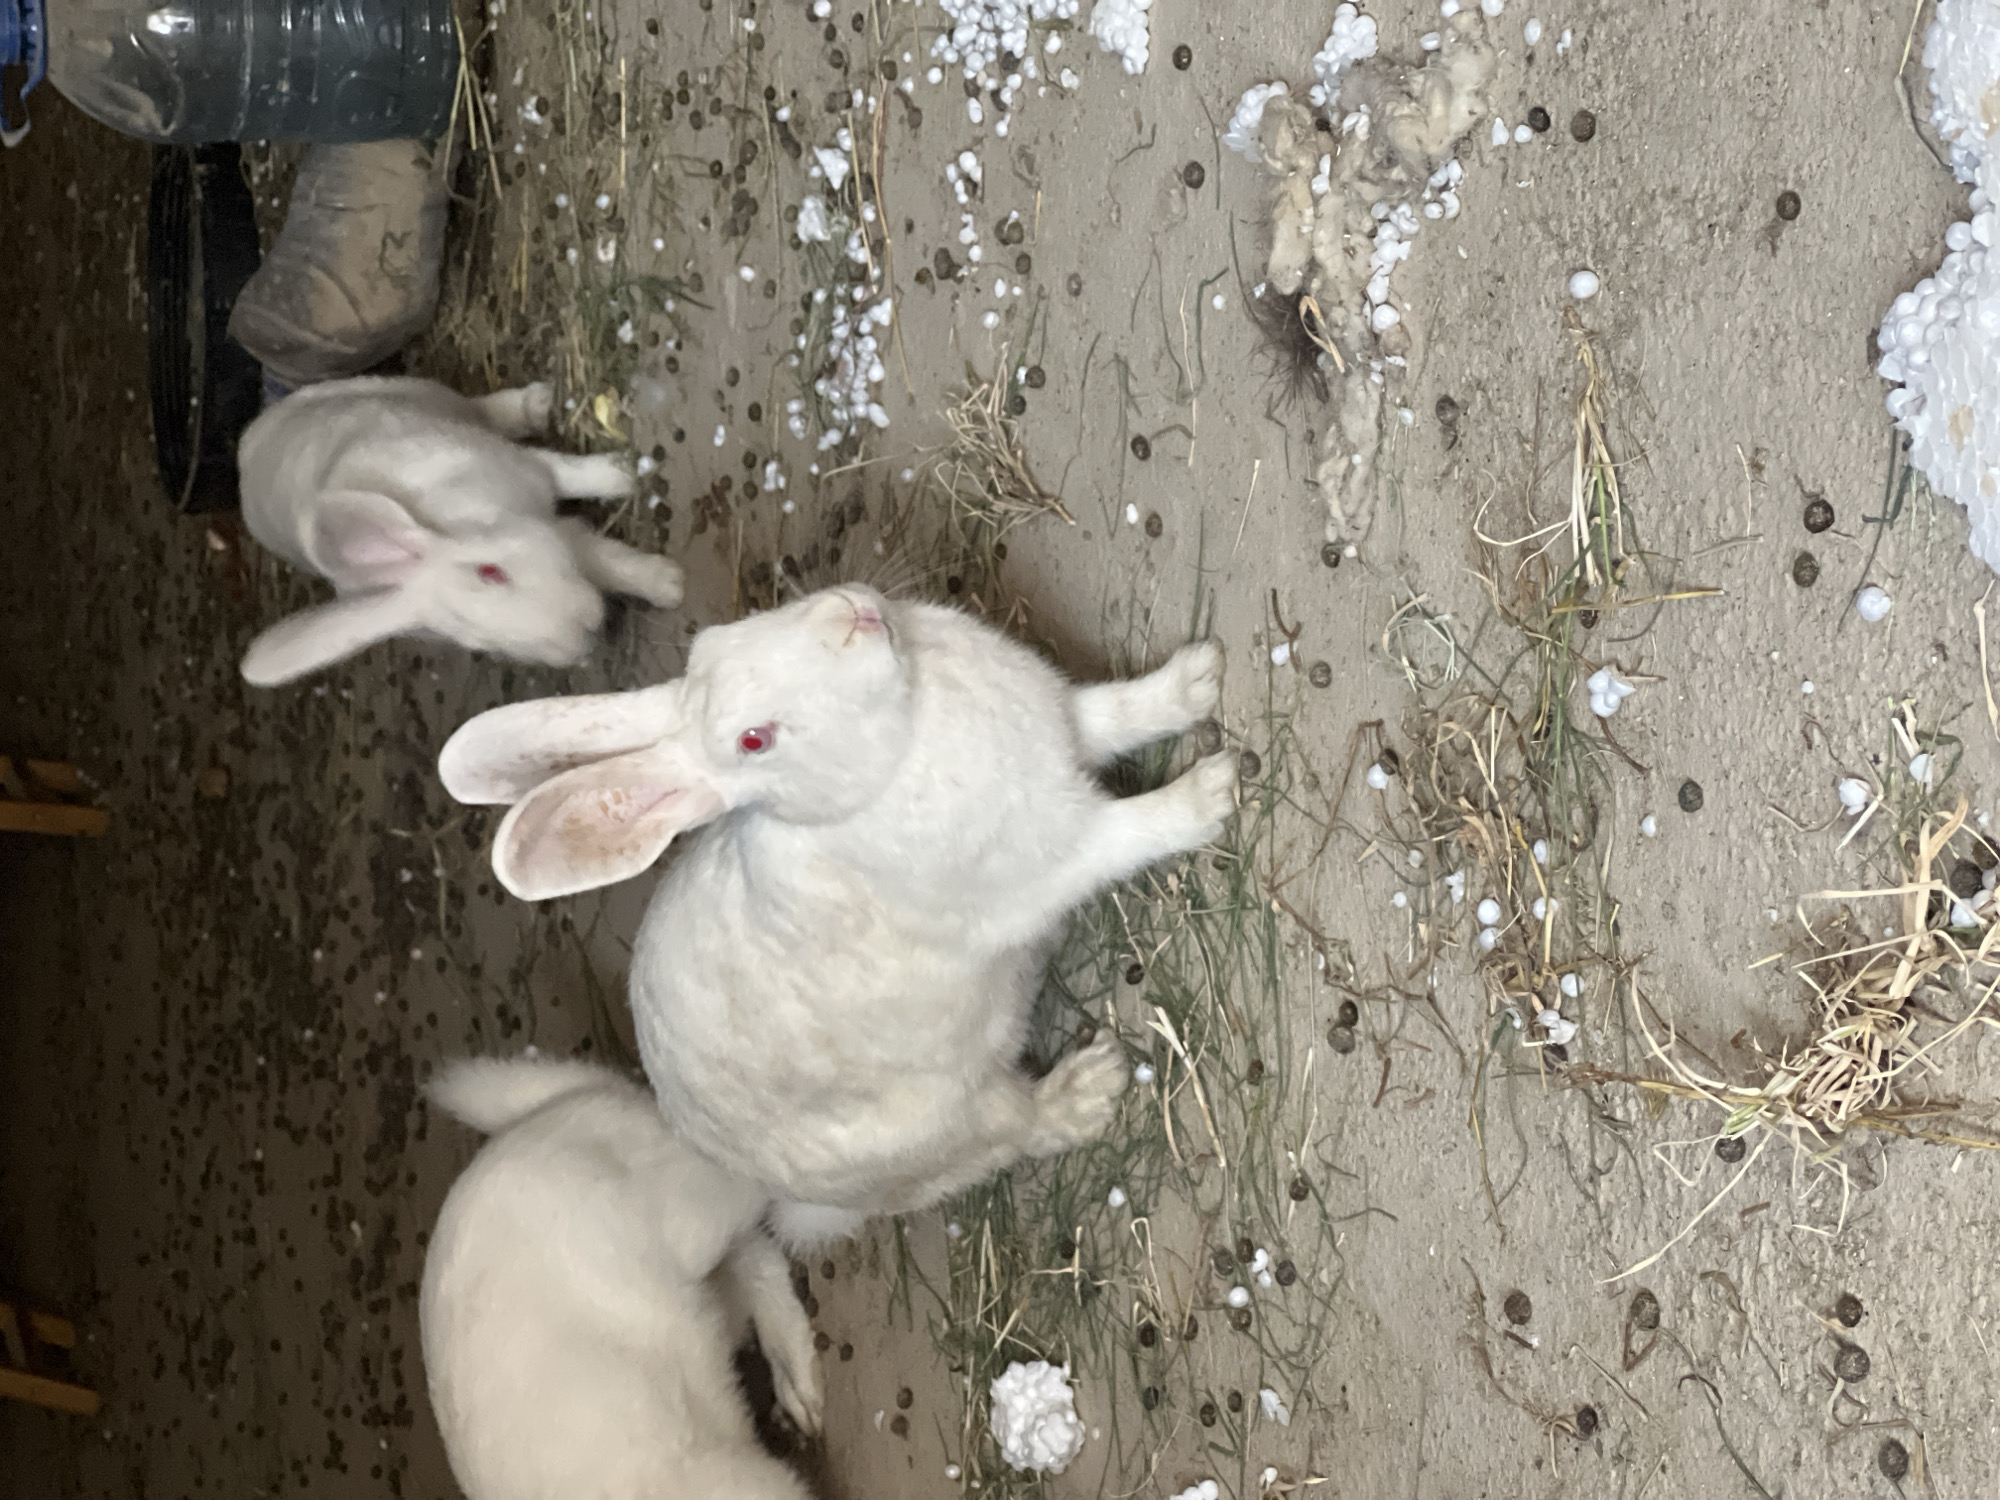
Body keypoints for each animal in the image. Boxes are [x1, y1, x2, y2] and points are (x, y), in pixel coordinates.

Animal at [234, 375, 685, 686]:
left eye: (491, 572)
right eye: (479, 646)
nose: (584, 634)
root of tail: (246, 449)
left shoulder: (530, 473)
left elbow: (574, 481)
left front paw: (626, 477)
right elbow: (603, 558)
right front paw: (669, 583)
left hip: (401, 389)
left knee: (481, 407)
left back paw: (535, 404)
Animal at [436, 586, 1237, 1243]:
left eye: (718, 636)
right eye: (755, 740)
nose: (853, 613)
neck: (897, 750)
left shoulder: (1065, 724)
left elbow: (1115, 713)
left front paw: (1197, 679)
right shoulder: (1053, 859)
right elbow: (1131, 832)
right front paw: (1212, 792)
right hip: (951, 1124)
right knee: (1016, 1135)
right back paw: (1091, 1088)